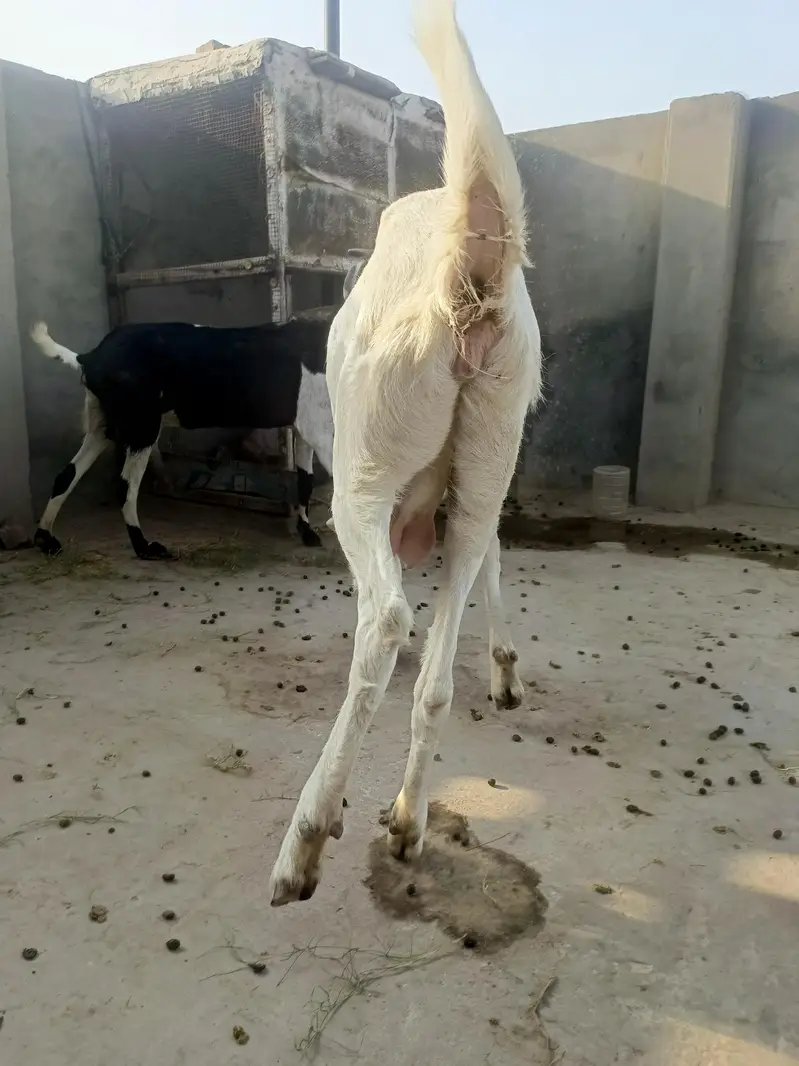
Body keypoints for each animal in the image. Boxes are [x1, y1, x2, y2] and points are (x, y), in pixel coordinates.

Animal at [29, 312, 335, 559]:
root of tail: (90, 357)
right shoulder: (321, 432)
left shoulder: (306, 431)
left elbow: (305, 481)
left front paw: (307, 532)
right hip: (143, 429)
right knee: (126, 488)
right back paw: (144, 547)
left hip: (104, 430)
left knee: (66, 476)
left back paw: (46, 538)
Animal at [268, 0, 543, 906]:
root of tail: (469, 270)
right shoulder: (475, 493)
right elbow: (492, 561)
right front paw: (505, 669)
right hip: (490, 444)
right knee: (432, 680)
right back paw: (406, 824)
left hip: (365, 471)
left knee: (385, 619)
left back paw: (307, 836)